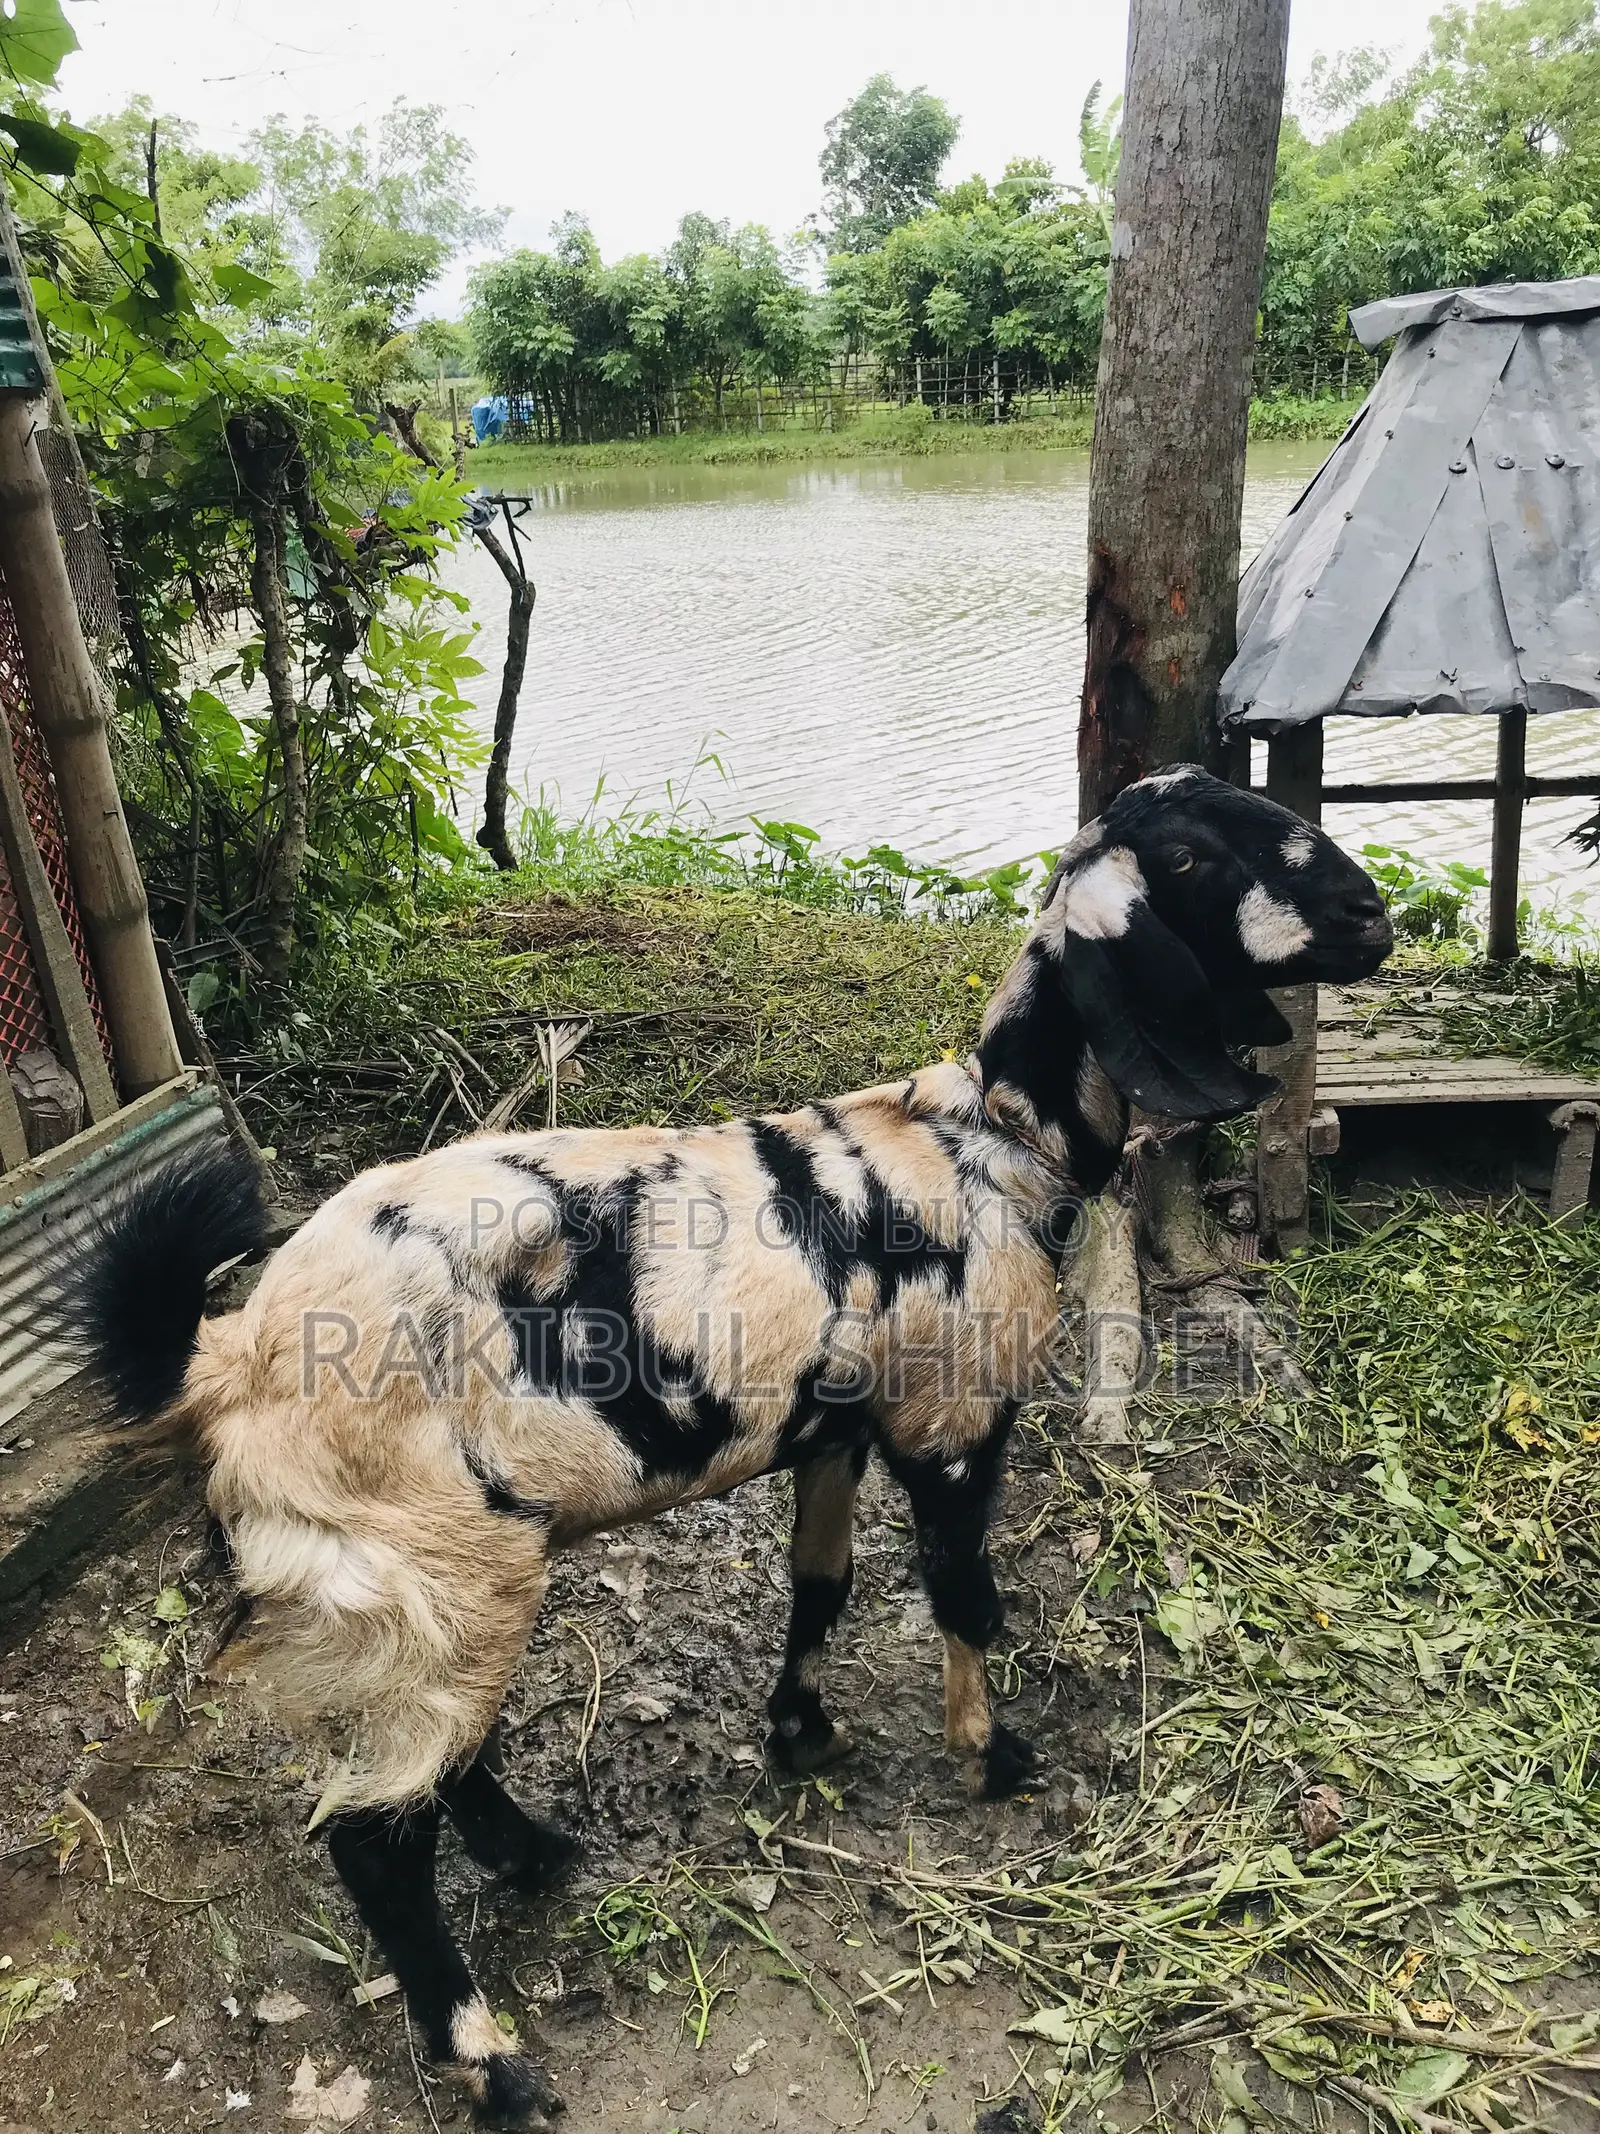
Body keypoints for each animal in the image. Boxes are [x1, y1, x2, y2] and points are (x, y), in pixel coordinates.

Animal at [65, 769, 1390, 2129]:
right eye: (1186, 856)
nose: (1369, 913)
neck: (991, 1143)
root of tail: (233, 1357)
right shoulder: (952, 1423)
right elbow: (963, 1593)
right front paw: (993, 1756)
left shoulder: (834, 1428)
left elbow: (821, 1585)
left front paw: (800, 1732)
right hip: (433, 1561)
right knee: (376, 1835)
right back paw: (492, 2058)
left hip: (432, 1587)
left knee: (436, 1763)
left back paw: (536, 1855)